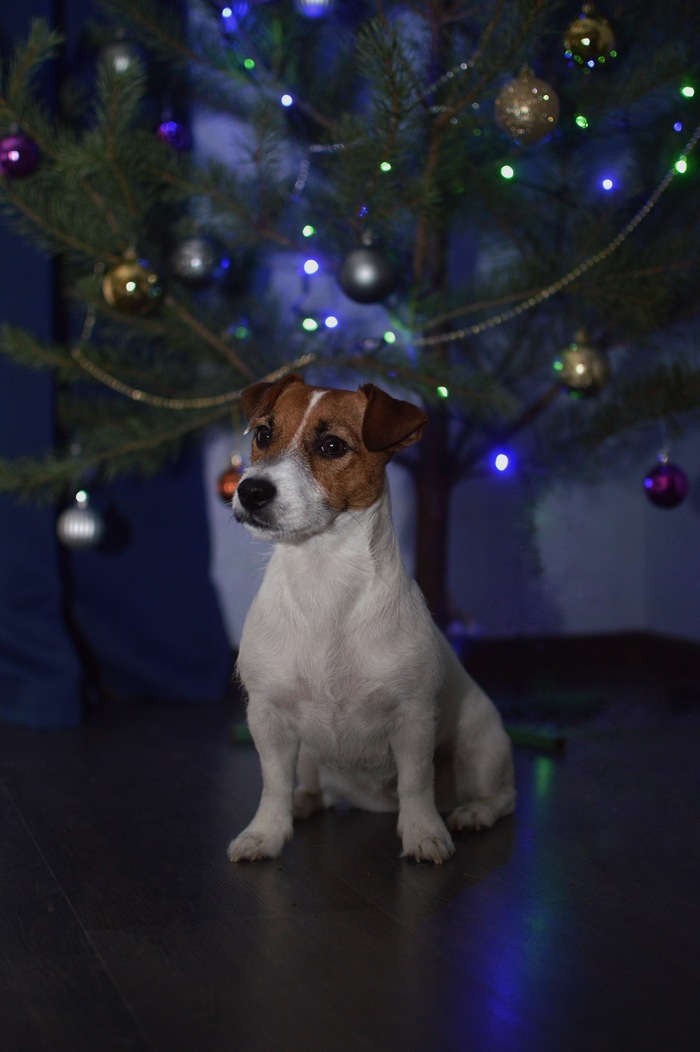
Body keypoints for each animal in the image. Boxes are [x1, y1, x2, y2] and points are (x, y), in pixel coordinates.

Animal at [228, 372, 513, 862]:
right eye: (263, 435)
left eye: (331, 446)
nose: (250, 490)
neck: (324, 581)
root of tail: (373, 801)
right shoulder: (267, 715)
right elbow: (273, 783)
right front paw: (265, 833)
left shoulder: (413, 719)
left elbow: (417, 784)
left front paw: (423, 833)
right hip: (311, 756)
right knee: (314, 788)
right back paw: (305, 802)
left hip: (481, 749)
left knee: (503, 797)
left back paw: (472, 812)